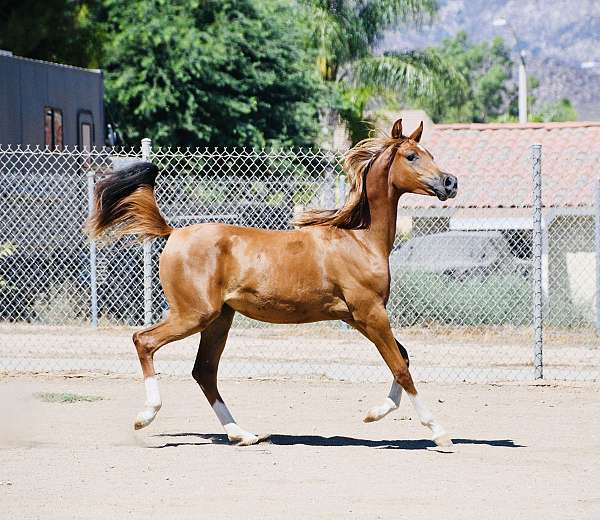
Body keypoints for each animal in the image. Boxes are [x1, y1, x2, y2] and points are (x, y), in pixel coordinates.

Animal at [86, 119, 458, 446]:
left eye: (429, 154)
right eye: (412, 156)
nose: (450, 183)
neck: (359, 239)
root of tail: (174, 233)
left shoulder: (357, 316)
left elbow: (403, 358)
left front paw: (374, 413)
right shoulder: (369, 312)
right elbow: (401, 367)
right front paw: (438, 431)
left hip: (219, 319)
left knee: (204, 371)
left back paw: (243, 434)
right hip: (194, 315)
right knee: (145, 341)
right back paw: (145, 416)